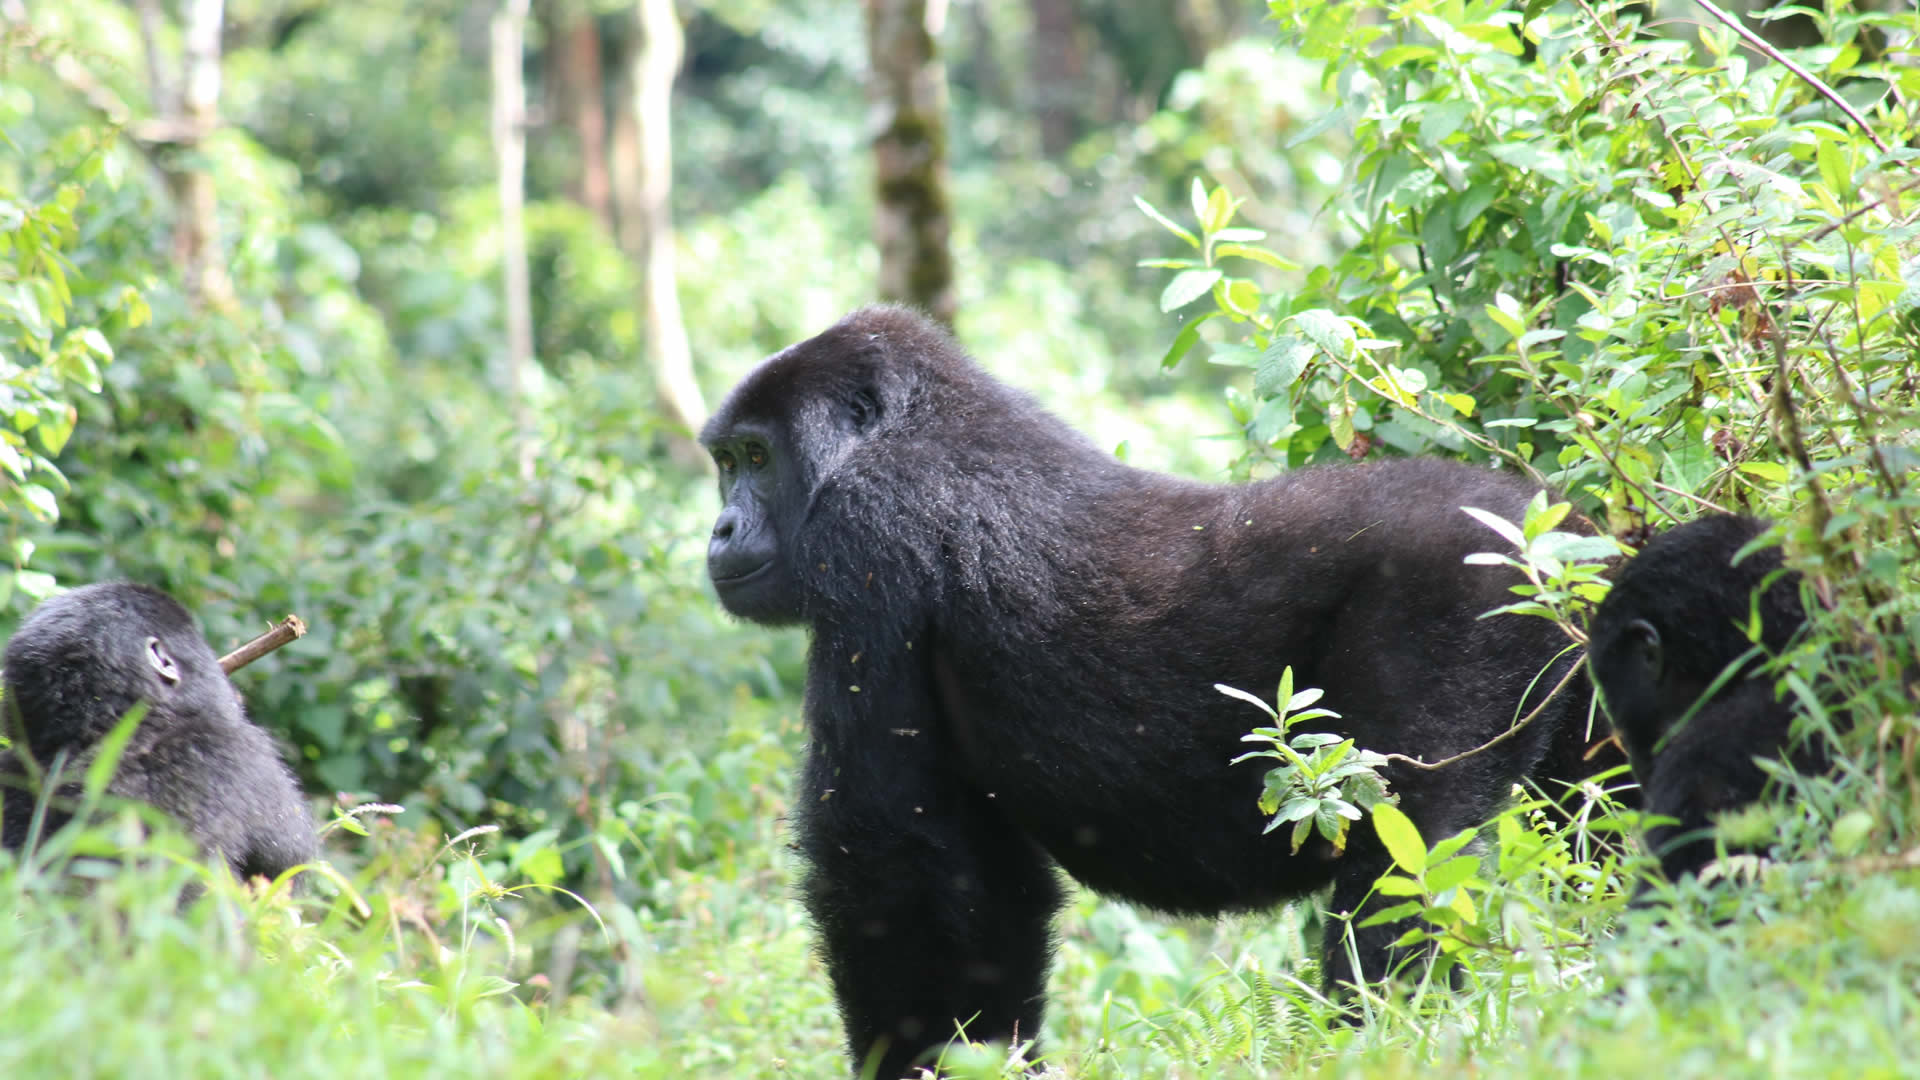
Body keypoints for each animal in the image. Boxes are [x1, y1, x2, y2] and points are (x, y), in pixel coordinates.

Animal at [698, 305, 1612, 1076]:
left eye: (756, 459)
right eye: (725, 465)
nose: (718, 529)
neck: (910, 421)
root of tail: (1560, 526)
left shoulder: (866, 537)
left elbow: (887, 849)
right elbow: (978, 884)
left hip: (1465, 592)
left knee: (1408, 844)